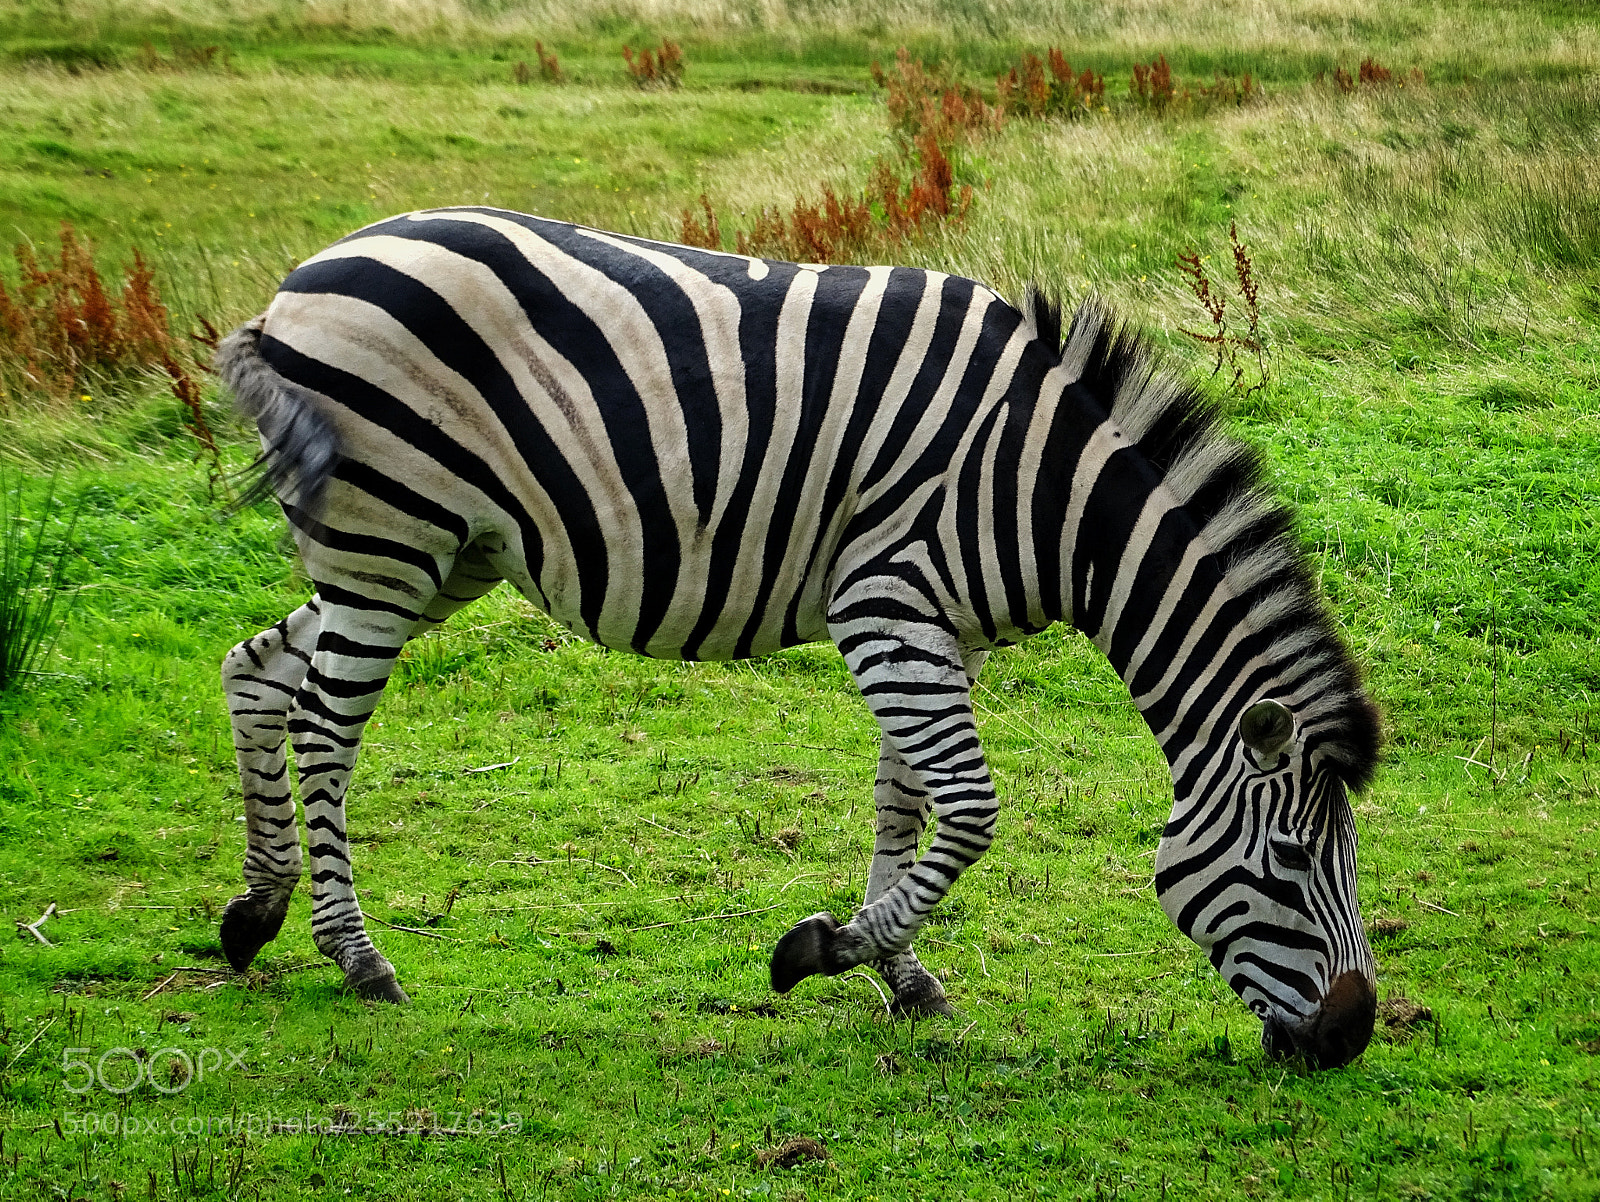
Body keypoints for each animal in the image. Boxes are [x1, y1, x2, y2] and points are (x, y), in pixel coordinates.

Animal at [215, 206, 1382, 1069]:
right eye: (1289, 862)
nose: (1348, 1037)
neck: (1045, 492)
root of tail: (300, 277)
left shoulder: (940, 628)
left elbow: (906, 799)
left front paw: (900, 973)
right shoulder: (885, 602)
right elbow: (969, 807)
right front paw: (821, 950)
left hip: (424, 554)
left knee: (258, 670)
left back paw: (256, 911)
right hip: (392, 531)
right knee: (324, 725)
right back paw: (356, 956)